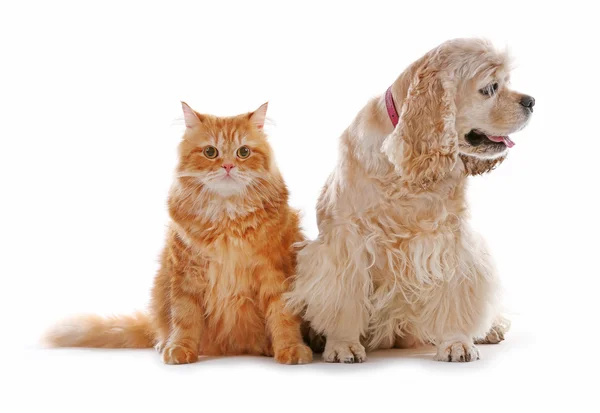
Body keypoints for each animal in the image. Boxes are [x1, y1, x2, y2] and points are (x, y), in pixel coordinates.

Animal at [44, 102, 312, 364]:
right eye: (210, 152)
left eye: (243, 152)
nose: (228, 166)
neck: (226, 220)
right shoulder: (186, 273)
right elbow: (185, 318)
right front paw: (180, 349)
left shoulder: (274, 271)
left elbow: (283, 316)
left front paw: (291, 349)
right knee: (163, 329)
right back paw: (164, 344)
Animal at [288, 37, 536, 360]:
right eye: (490, 88)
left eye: (508, 82)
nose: (531, 101)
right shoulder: (345, 244)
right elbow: (344, 298)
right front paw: (342, 344)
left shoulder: (451, 241)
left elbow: (456, 293)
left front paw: (457, 343)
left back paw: (490, 329)